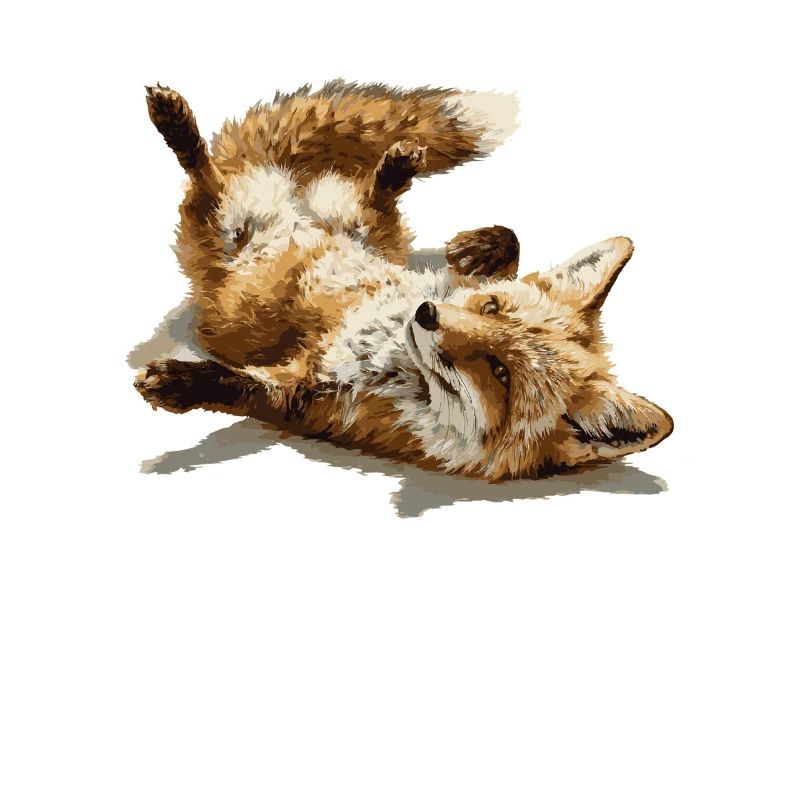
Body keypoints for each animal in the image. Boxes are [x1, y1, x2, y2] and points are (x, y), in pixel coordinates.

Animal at [135, 81, 673, 481]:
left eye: (500, 372)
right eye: (490, 307)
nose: (426, 315)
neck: (393, 356)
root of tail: (294, 198)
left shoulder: (312, 399)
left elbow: (240, 388)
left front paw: (180, 383)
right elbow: (506, 246)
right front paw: (478, 249)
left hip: (213, 231)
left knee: (203, 179)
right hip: (353, 226)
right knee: (218, 172)